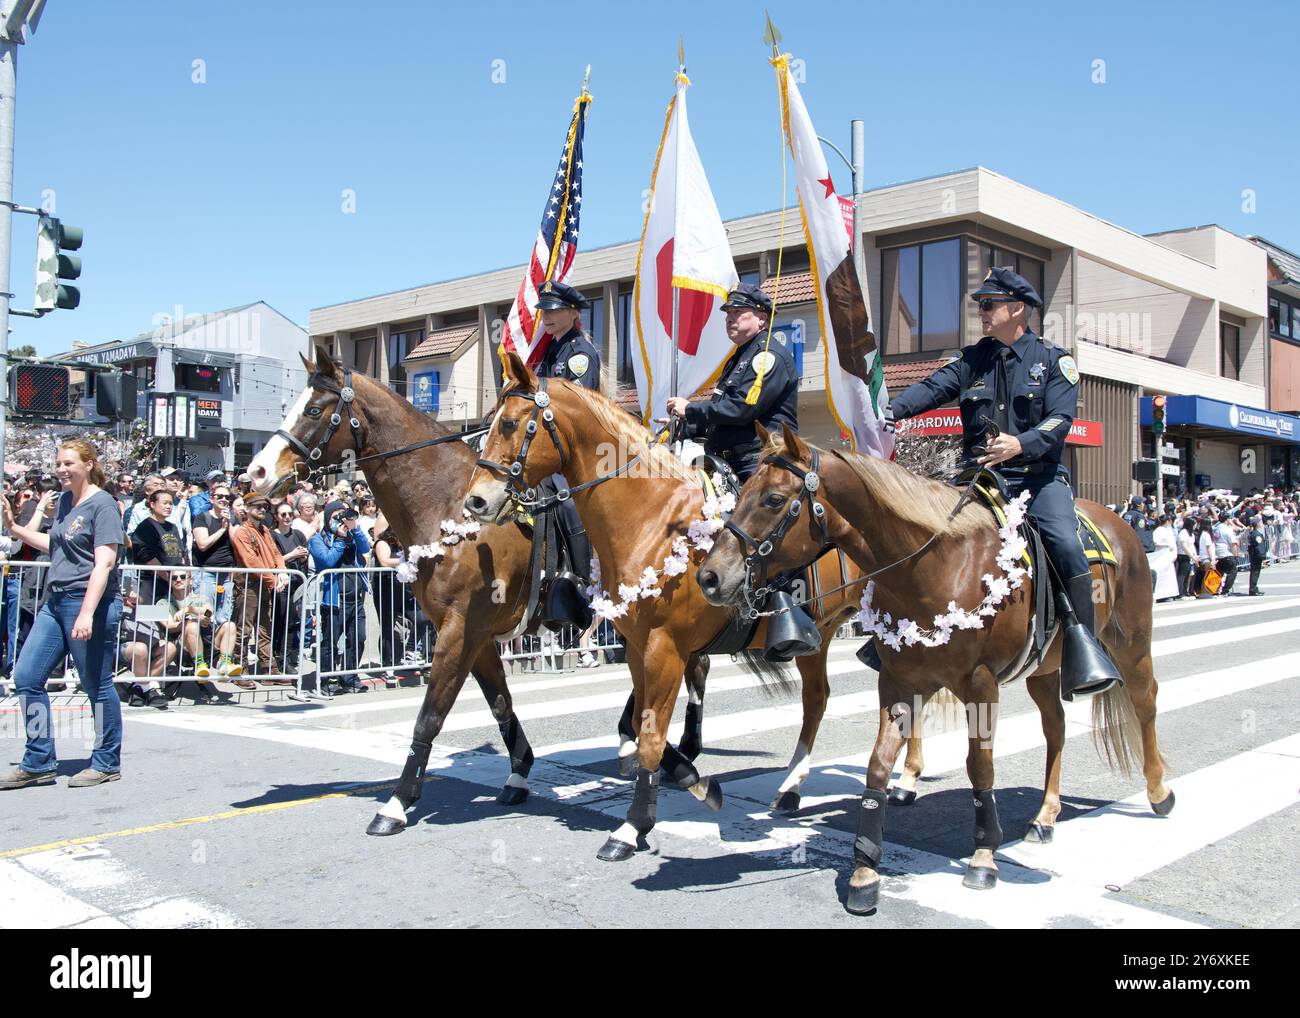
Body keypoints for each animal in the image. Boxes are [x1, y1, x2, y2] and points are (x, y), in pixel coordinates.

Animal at [243, 351, 712, 837]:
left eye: (314, 410)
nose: (255, 472)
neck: (447, 506)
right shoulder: (478, 637)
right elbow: (500, 705)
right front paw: (518, 773)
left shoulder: (459, 631)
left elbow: (430, 716)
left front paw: (396, 803)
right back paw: (660, 752)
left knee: (687, 672)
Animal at [462, 353, 868, 863]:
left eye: (511, 423)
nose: (476, 500)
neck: (653, 521)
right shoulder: (638, 647)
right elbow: (641, 724)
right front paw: (687, 784)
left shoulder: (666, 648)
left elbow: (652, 735)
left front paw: (631, 826)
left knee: (831, 701)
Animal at [702, 426, 1180, 920]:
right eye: (743, 492)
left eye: (774, 499)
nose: (710, 576)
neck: (934, 565)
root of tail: (1120, 523)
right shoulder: (897, 681)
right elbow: (877, 767)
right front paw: (865, 870)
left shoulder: (981, 684)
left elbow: (980, 766)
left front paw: (984, 857)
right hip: (1043, 670)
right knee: (1056, 729)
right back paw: (1045, 816)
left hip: (1131, 644)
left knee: (1145, 703)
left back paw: (1158, 791)